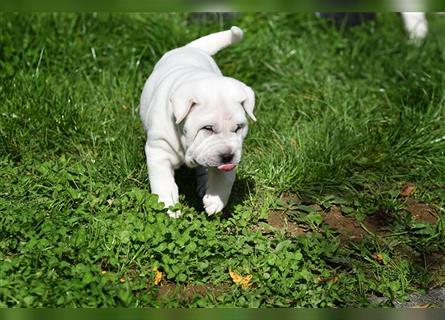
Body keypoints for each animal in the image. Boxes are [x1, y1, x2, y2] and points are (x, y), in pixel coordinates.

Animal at [140, 25, 255, 218]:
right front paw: (168, 207)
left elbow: (225, 177)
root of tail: (191, 48)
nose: (228, 156)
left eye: (238, 128)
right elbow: (163, 181)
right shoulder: (159, 150)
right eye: (207, 128)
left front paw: (215, 200)